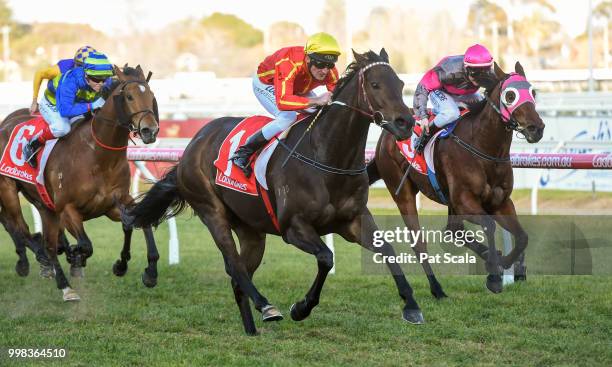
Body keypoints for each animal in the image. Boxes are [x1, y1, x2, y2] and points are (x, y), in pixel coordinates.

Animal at [0, 65, 160, 302]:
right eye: (129, 97)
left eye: (151, 96)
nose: (150, 130)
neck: (98, 156)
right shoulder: (67, 209)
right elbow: (86, 245)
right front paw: (76, 257)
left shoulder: (115, 203)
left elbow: (138, 223)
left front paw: (142, 270)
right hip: (9, 191)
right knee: (23, 230)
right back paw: (57, 278)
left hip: (42, 202)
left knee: (44, 238)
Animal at [124, 49, 426, 336]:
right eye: (375, 84)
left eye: (401, 84)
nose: (405, 123)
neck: (327, 156)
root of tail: (193, 143)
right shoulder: (293, 227)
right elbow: (326, 258)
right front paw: (301, 308)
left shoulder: (354, 219)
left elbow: (387, 250)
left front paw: (412, 306)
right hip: (212, 212)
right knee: (234, 265)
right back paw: (267, 306)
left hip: (251, 230)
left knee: (239, 275)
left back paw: (251, 329)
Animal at [368, 61, 544, 296]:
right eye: (510, 95)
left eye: (533, 92)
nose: (537, 128)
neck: (484, 147)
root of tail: (386, 134)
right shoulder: (465, 202)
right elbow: (489, 225)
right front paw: (495, 275)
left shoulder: (500, 202)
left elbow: (523, 237)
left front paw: (505, 262)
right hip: (403, 192)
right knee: (420, 242)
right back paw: (437, 288)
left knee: (453, 231)